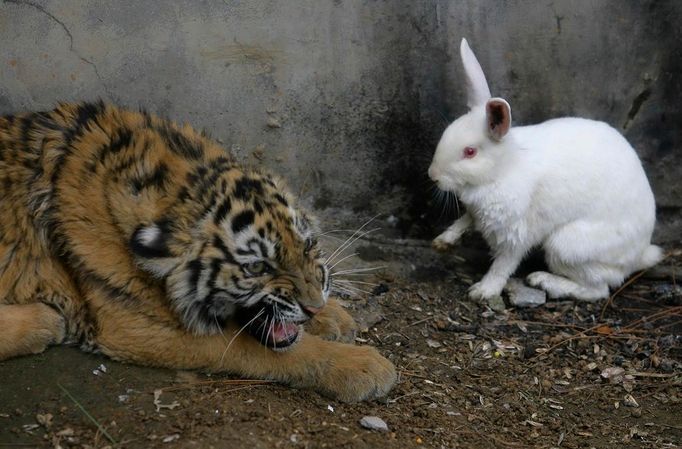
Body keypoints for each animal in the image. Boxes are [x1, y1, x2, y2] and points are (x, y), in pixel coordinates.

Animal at [0, 102, 394, 402]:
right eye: (257, 268)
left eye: (308, 245)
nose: (314, 306)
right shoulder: (131, 325)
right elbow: (252, 348)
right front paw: (364, 367)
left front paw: (336, 316)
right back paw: (44, 322)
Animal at [428, 38, 660, 300]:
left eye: (470, 152)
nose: (433, 176)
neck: (502, 170)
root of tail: (639, 254)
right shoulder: (475, 213)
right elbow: (464, 220)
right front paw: (442, 241)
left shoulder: (515, 234)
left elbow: (503, 265)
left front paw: (483, 291)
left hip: (566, 247)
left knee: (597, 290)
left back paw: (543, 280)